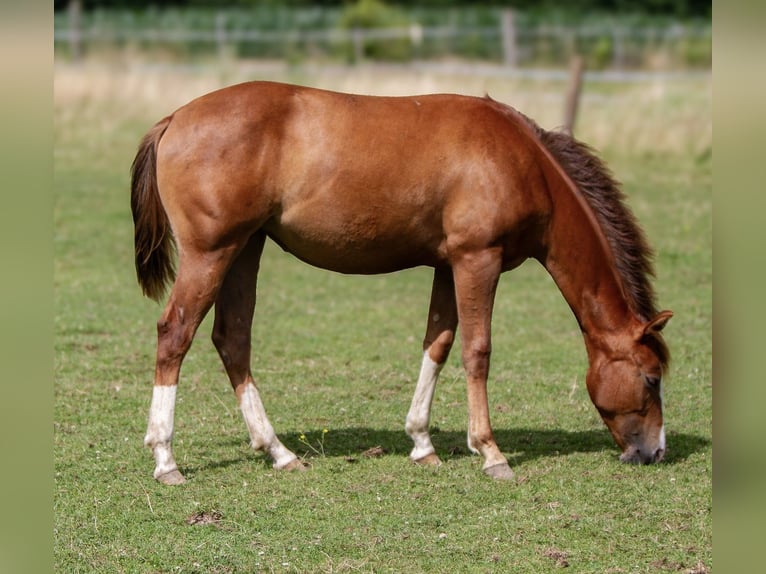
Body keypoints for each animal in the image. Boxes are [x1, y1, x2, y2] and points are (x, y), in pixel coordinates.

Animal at [130, 80, 672, 486]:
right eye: (651, 378)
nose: (655, 453)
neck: (523, 162)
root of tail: (174, 119)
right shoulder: (478, 260)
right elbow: (477, 350)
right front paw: (490, 452)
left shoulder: (448, 266)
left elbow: (439, 343)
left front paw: (422, 443)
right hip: (212, 254)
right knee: (175, 335)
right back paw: (166, 459)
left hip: (245, 249)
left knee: (233, 339)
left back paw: (279, 451)